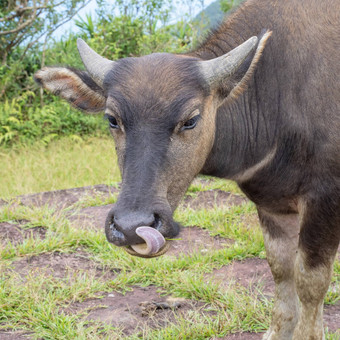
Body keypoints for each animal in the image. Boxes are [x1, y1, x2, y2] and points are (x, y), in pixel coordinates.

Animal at [33, 0, 338, 338]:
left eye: (190, 120)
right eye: (112, 119)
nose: (131, 226)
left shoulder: (325, 201)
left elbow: (310, 283)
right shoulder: (273, 206)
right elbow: (281, 270)